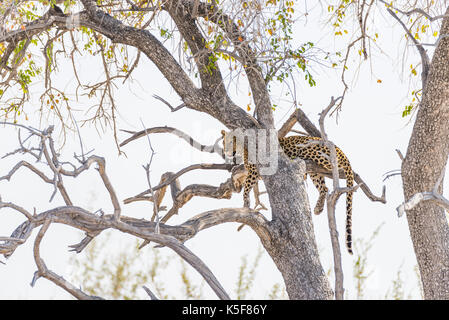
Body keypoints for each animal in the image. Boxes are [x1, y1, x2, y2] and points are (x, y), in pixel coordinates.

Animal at [220, 130, 354, 255]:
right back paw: (318, 208)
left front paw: (246, 200)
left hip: (310, 152)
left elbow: (247, 187)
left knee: (333, 165)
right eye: (224, 142)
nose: (226, 152)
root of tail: (338, 149)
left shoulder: (254, 171)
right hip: (315, 173)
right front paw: (235, 169)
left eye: (232, 142)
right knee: (324, 188)